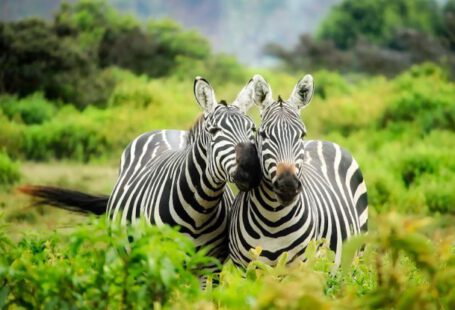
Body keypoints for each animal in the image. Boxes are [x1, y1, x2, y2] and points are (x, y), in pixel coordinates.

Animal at [21, 77, 262, 262]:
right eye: (213, 131)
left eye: (252, 129)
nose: (251, 169)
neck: (200, 209)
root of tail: (166, 130)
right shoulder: (160, 258)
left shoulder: (210, 265)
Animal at [230, 74, 368, 268]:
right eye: (263, 134)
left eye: (302, 134)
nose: (288, 185)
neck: (273, 220)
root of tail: (323, 141)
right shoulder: (244, 268)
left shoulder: (300, 267)